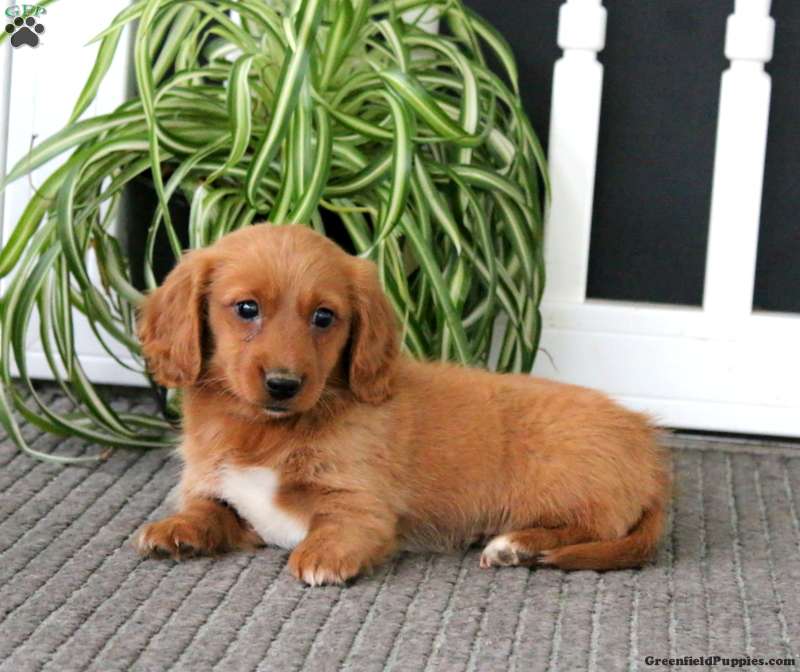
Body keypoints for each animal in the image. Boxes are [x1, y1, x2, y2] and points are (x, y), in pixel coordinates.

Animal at [135, 224, 670, 585]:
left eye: (324, 317)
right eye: (247, 309)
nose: (284, 384)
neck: (265, 429)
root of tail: (650, 452)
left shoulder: (362, 502)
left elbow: (339, 524)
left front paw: (322, 556)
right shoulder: (223, 490)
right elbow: (208, 508)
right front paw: (176, 528)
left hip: (558, 484)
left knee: (591, 527)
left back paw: (515, 545)